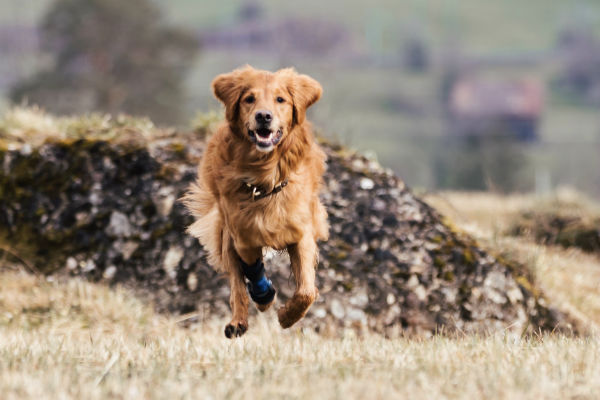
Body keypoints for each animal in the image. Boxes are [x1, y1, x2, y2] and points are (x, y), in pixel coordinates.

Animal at [185, 65, 330, 338]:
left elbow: (306, 290)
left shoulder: (301, 232)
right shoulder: (242, 236)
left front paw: (287, 316)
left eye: (280, 99)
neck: (265, 179)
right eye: (249, 99)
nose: (264, 116)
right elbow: (251, 272)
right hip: (225, 235)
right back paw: (239, 320)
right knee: (237, 285)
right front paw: (264, 297)